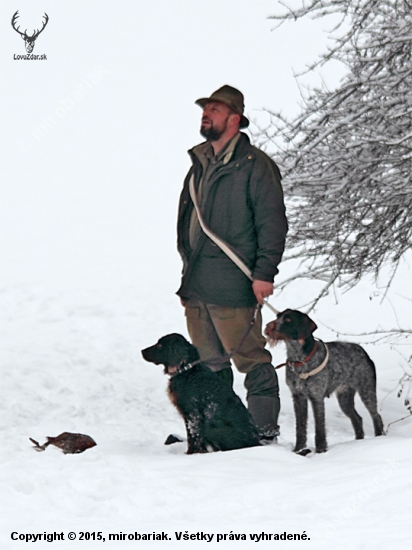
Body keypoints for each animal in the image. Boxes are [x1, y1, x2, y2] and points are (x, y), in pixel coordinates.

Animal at [266, 310, 384, 458]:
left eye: (288, 320)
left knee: (376, 416)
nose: (267, 327)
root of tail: (364, 352)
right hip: (345, 399)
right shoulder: (298, 397)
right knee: (357, 419)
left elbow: (319, 426)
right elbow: (300, 427)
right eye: (278, 316)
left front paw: (321, 450)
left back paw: (378, 439)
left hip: (367, 391)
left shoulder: (316, 397)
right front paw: (298, 450)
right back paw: (358, 443)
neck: (300, 360)